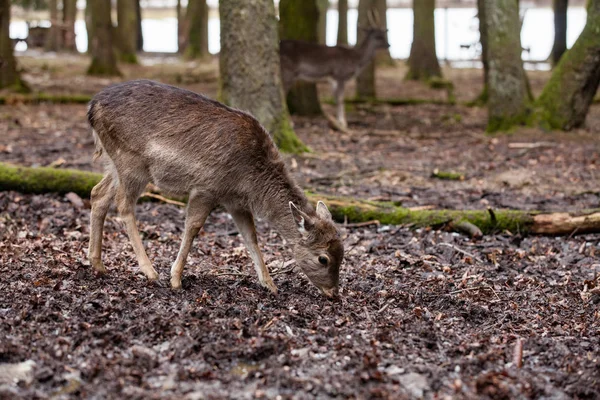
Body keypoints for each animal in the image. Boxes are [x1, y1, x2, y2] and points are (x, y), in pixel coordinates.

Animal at [86, 79, 344, 296]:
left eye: (342, 254)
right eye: (323, 259)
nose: (333, 293)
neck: (252, 183)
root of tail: (91, 107)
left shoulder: (235, 201)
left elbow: (251, 236)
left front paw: (269, 284)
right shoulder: (207, 187)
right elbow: (193, 227)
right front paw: (175, 279)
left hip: (114, 162)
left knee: (98, 193)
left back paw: (97, 264)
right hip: (131, 161)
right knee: (123, 204)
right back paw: (150, 272)